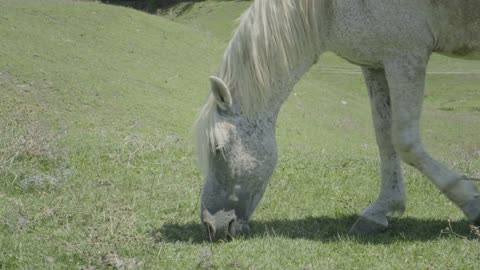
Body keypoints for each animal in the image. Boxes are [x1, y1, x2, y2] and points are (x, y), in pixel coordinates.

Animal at [193, 0, 478, 240]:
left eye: (218, 149)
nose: (210, 226)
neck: (327, 8)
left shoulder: (405, 58)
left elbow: (405, 142)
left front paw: (471, 202)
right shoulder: (376, 64)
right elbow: (384, 137)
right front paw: (380, 210)